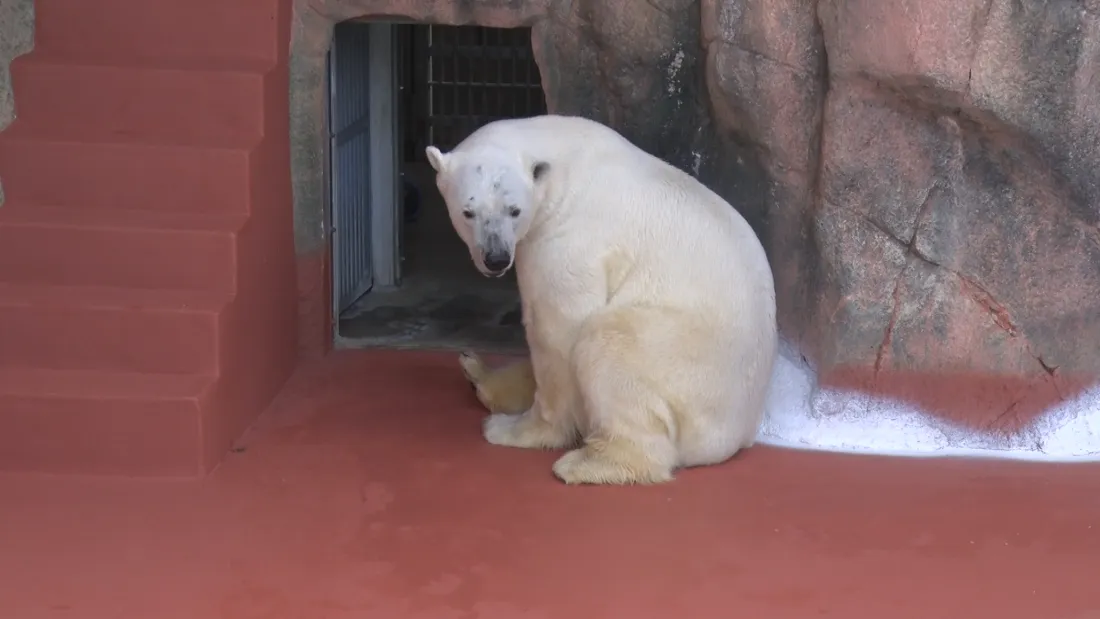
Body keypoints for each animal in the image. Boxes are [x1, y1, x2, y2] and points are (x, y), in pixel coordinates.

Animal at [424, 114, 778, 483]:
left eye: (514, 210)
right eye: (468, 212)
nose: (496, 258)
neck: (564, 158)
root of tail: (738, 432)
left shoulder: (568, 238)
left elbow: (556, 333)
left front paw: (515, 430)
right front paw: (484, 377)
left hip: (681, 361)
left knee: (610, 343)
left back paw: (586, 463)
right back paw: (477, 374)